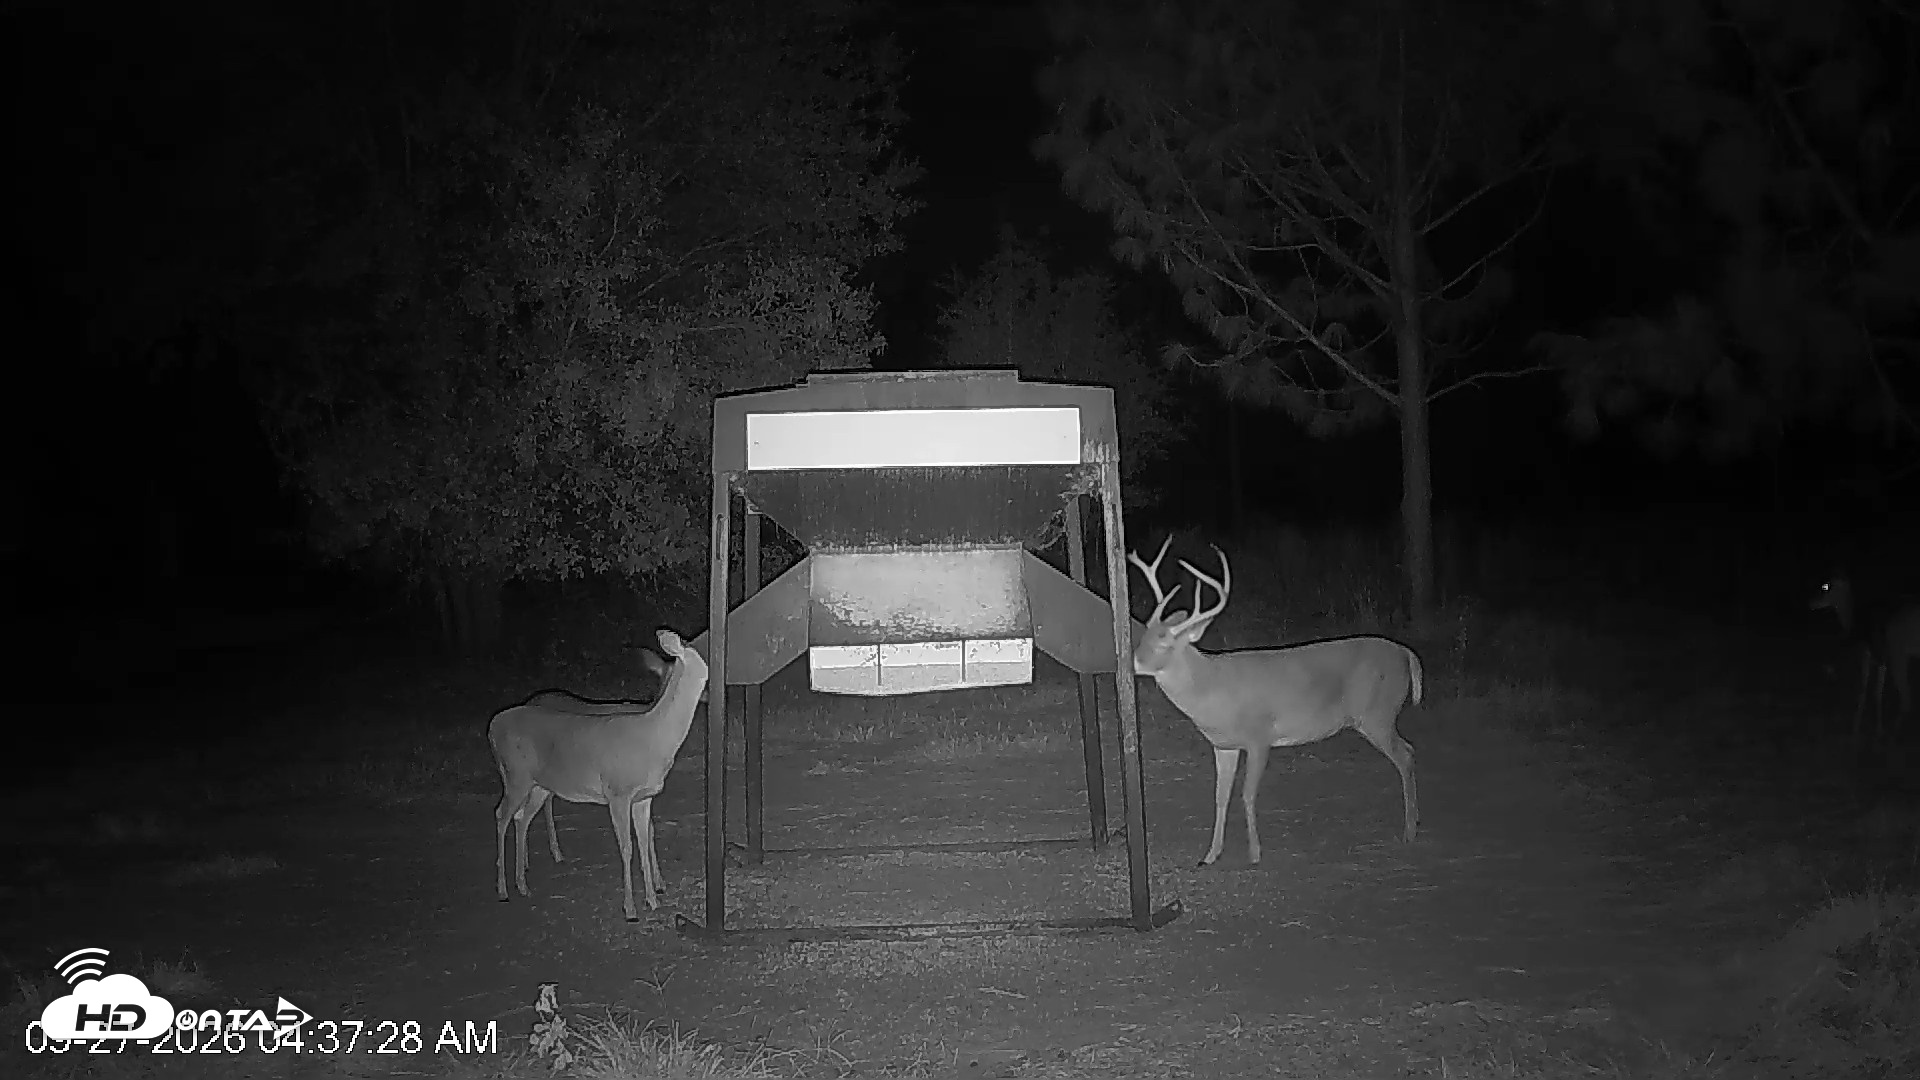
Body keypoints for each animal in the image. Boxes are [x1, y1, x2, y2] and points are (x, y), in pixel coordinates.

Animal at [488, 628, 709, 921]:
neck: (653, 737)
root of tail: (492, 727)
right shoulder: (617, 792)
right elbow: (626, 848)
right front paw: (630, 909)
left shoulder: (643, 797)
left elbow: (644, 840)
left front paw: (652, 899)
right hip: (515, 775)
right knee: (501, 815)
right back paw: (503, 889)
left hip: (538, 784)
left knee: (521, 818)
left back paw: (523, 884)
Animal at [1128, 537, 1423, 867]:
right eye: (1144, 634)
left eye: (1163, 643)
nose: (1130, 661)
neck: (1211, 690)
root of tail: (1407, 654)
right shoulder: (1223, 745)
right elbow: (1220, 796)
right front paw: (1210, 855)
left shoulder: (1260, 737)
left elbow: (1246, 794)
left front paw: (1255, 854)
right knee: (1409, 751)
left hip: (1377, 713)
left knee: (1405, 755)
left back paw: (1409, 832)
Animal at [1810, 571, 1920, 744]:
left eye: (1825, 586)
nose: (1811, 603)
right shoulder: (1881, 658)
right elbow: (1876, 692)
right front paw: (1877, 730)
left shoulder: (1868, 653)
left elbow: (1865, 691)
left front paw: (1858, 729)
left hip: (1899, 654)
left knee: (1906, 699)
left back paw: (1893, 736)